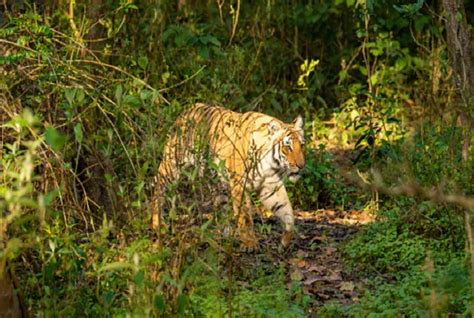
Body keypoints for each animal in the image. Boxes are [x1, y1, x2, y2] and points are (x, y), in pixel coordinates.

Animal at [152, 103, 308, 250]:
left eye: (302, 145)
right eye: (287, 147)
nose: (301, 165)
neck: (271, 164)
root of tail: (187, 110)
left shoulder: (270, 186)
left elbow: (287, 211)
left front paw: (285, 241)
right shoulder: (240, 184)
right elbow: (245, 216)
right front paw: (250, 244)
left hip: (217, 183)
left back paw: (225, 235)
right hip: (171, 167)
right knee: (158, 189)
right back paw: (157, 224)